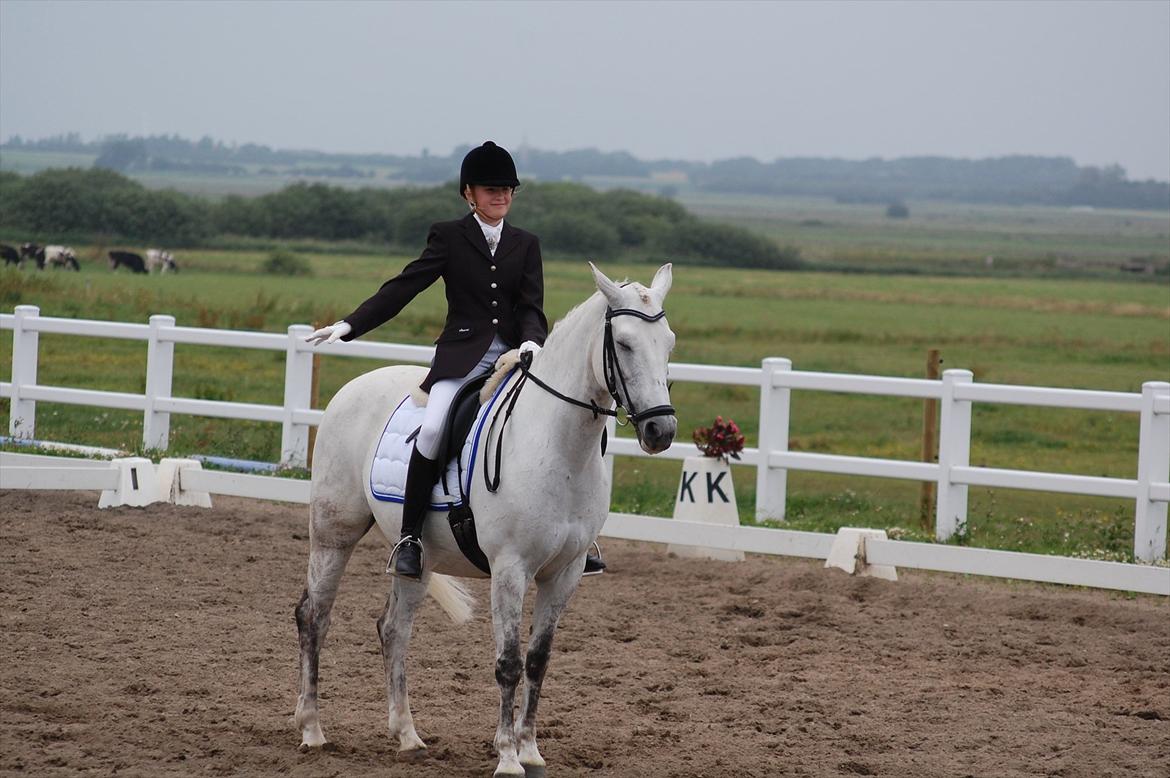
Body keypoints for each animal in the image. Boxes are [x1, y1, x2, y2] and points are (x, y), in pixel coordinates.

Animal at [295, 262, 677, 776]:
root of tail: (357, 385)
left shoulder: (566, 572)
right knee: (315, 617)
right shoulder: (510, 568)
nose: (661, 430)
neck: (559, 446)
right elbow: (508, 662)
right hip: (334, 533)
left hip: (417, 558)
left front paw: (531, 751)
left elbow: (538, 659)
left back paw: (408, 736)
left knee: (393, 629)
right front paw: (508, 757)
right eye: (625, 344)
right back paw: (312, 730)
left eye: (669, 342)